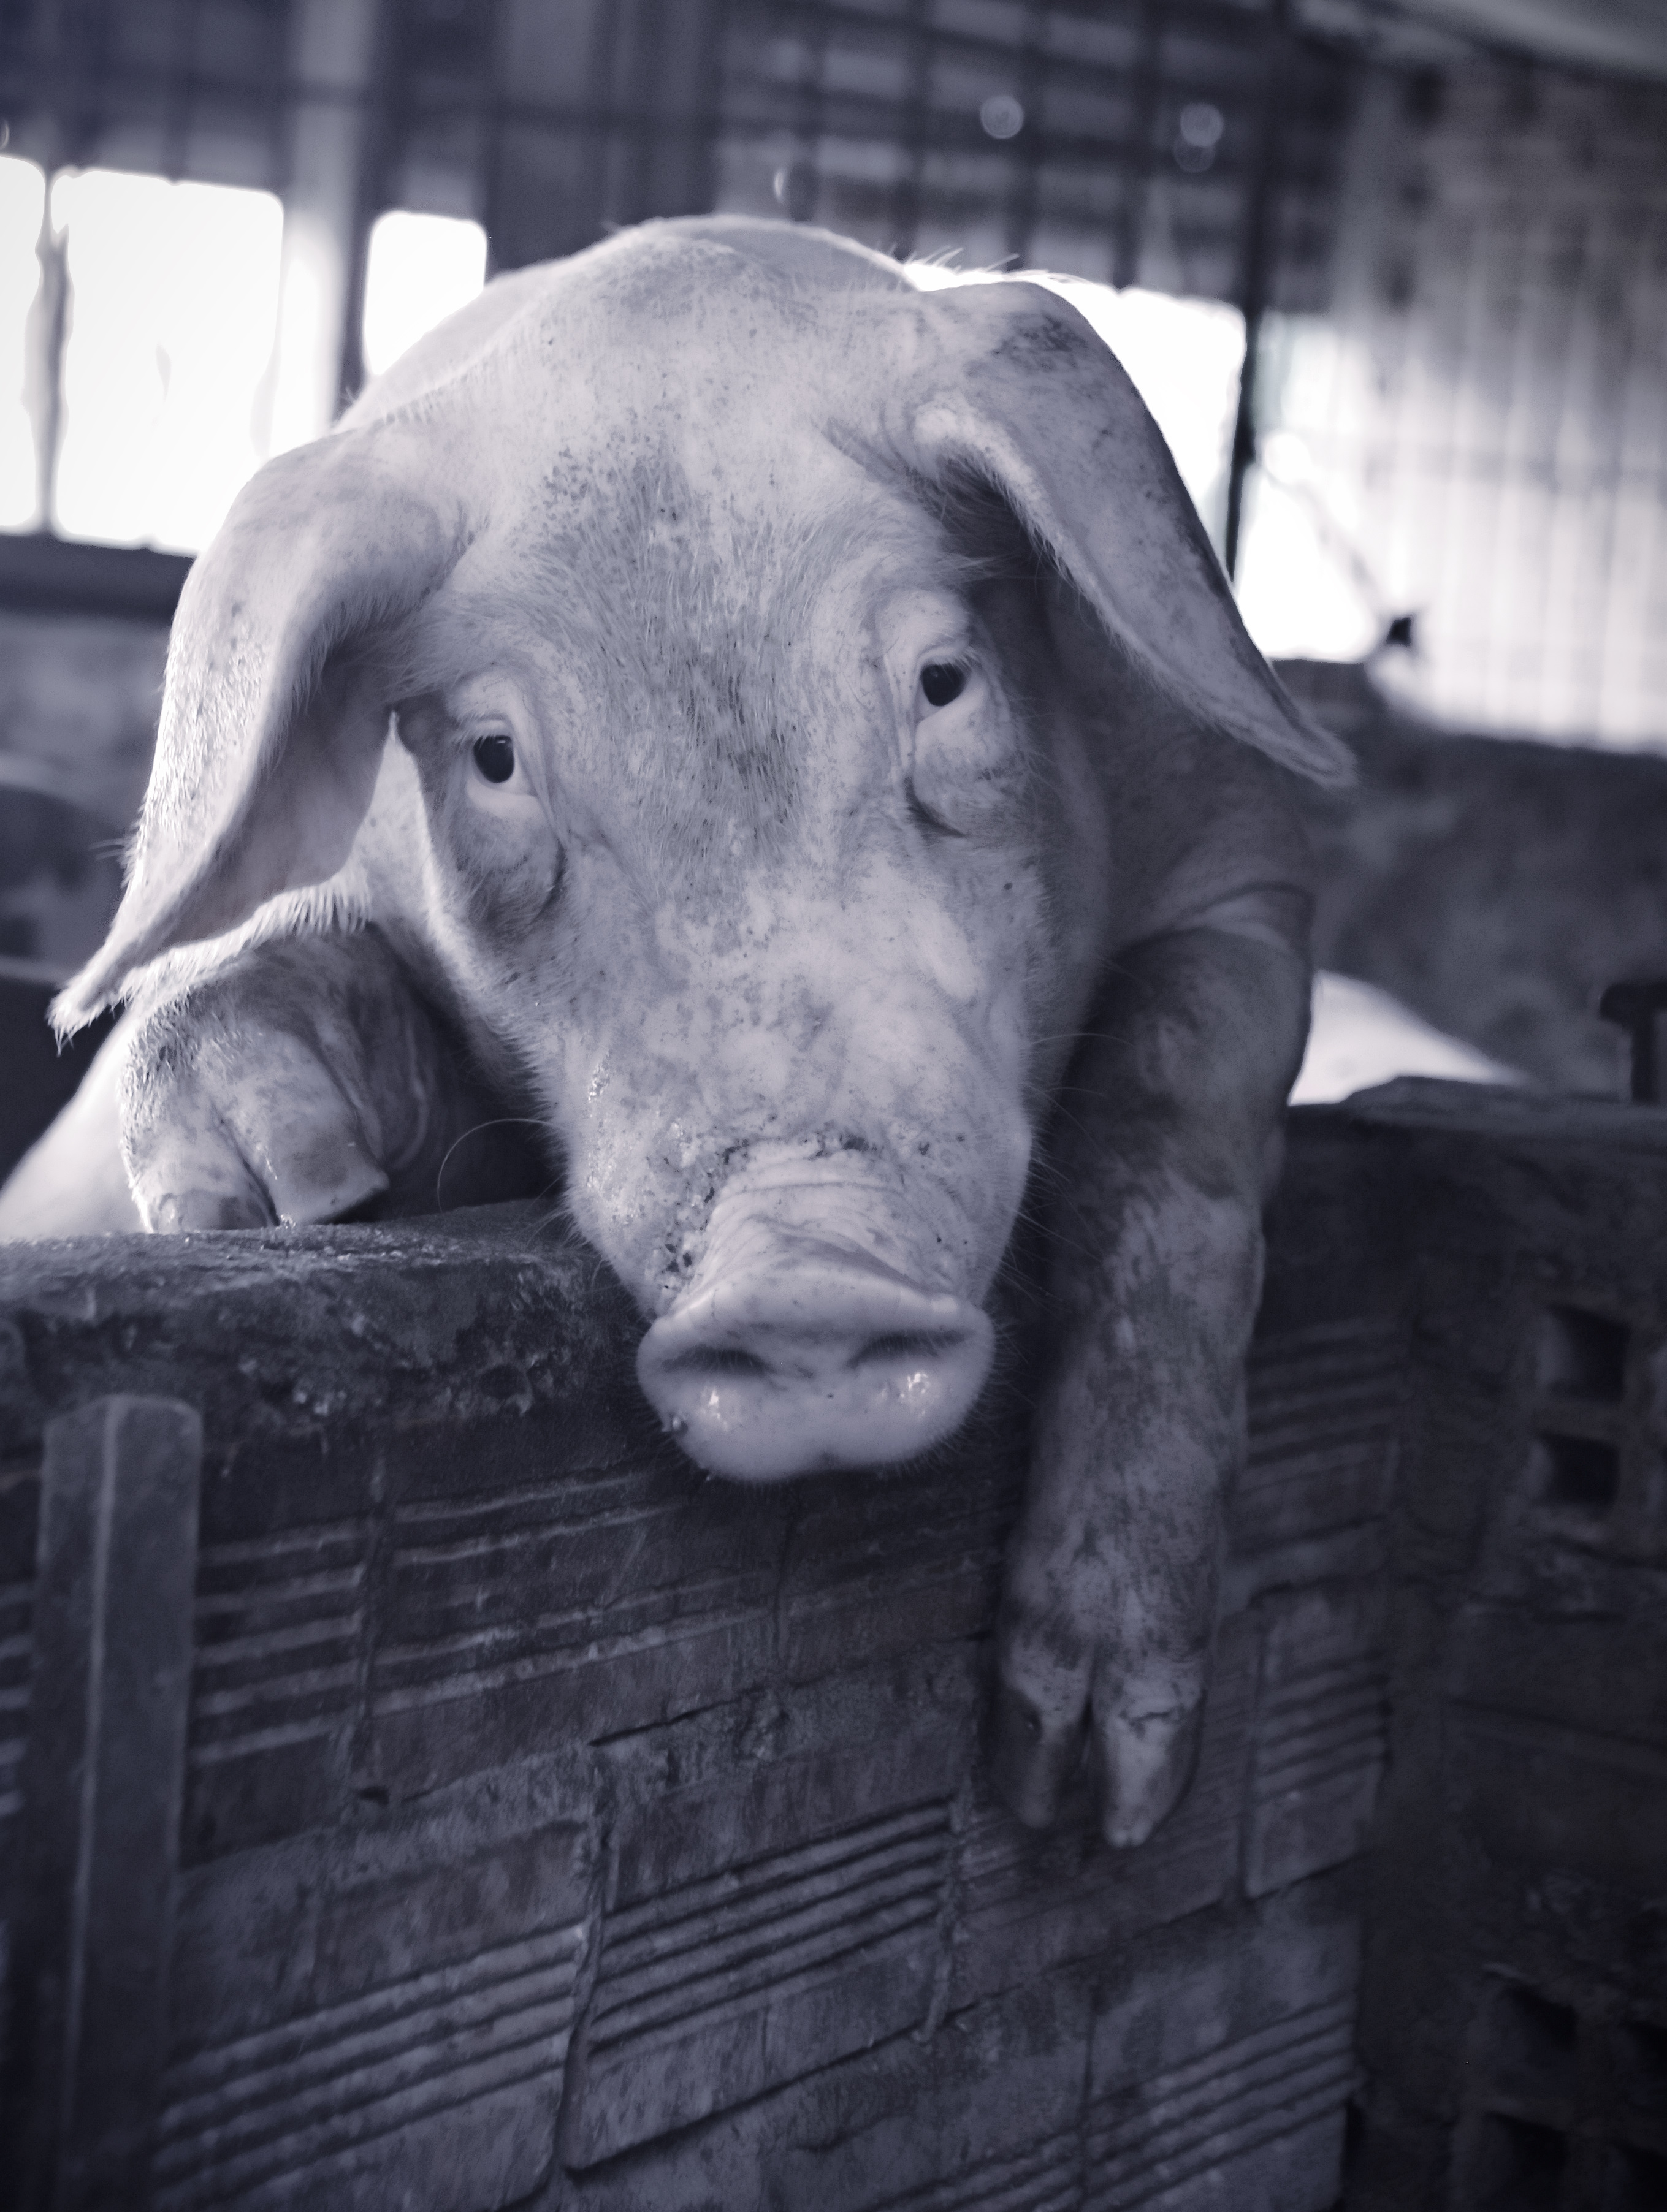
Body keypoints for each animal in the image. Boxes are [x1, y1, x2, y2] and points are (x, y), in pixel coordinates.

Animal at [2, 215, 1350, 1846]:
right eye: (493, 757)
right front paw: (273, 1190)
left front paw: (1089, 1787)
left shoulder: (1246, 872)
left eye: (944, 680)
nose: (805, 1269)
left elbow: (1171, 1137)